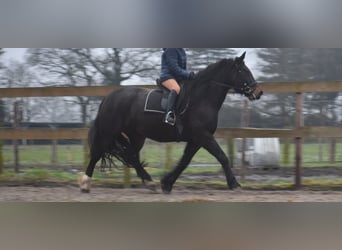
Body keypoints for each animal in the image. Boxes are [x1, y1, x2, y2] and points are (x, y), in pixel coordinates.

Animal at [79, 52, 262, 193]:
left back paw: (150, 182)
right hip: (108, 132)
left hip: (136, 136)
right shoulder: (203, 135)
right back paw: (85, 183)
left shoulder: (196, 139)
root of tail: (109, 97)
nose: (258, 92)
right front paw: (234, 184)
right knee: (97, 153)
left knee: (132, 156)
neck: (201, 98)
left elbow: (184, 161)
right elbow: (222, 157)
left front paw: (166, 183)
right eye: (243, 70)